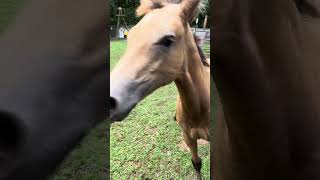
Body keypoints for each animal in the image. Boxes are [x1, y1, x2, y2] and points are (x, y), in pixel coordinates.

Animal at [110, 0, 210, 178]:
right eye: (131, 36)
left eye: (168, 40)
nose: (110, 101)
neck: (200, 109)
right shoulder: (188, 137)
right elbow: (197, 163)